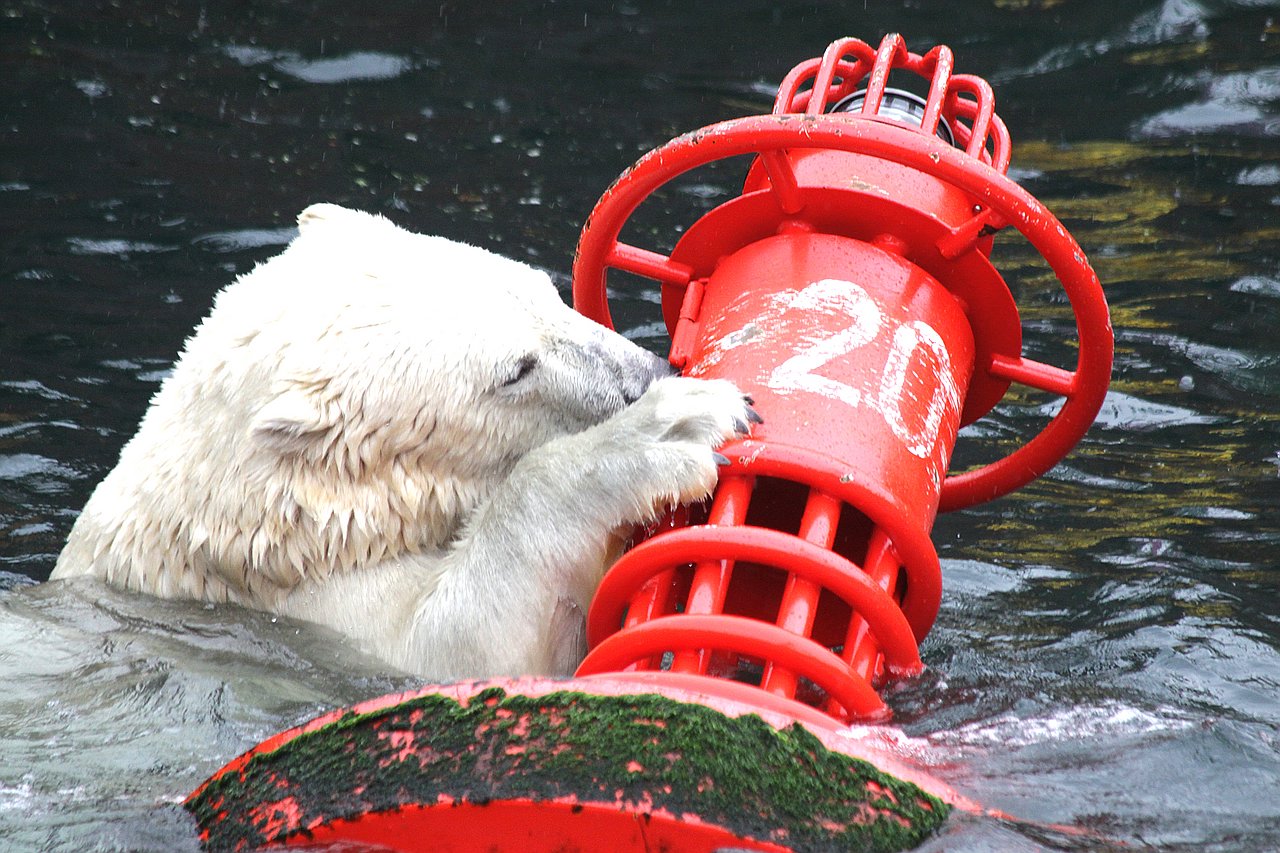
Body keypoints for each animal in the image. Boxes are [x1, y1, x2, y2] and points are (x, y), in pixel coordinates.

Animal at [55, 202, 752, 681]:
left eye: (549, 292)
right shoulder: (324, 617)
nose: (649, 374)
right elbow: (468, 643)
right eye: (516, 369)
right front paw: (676, 425)